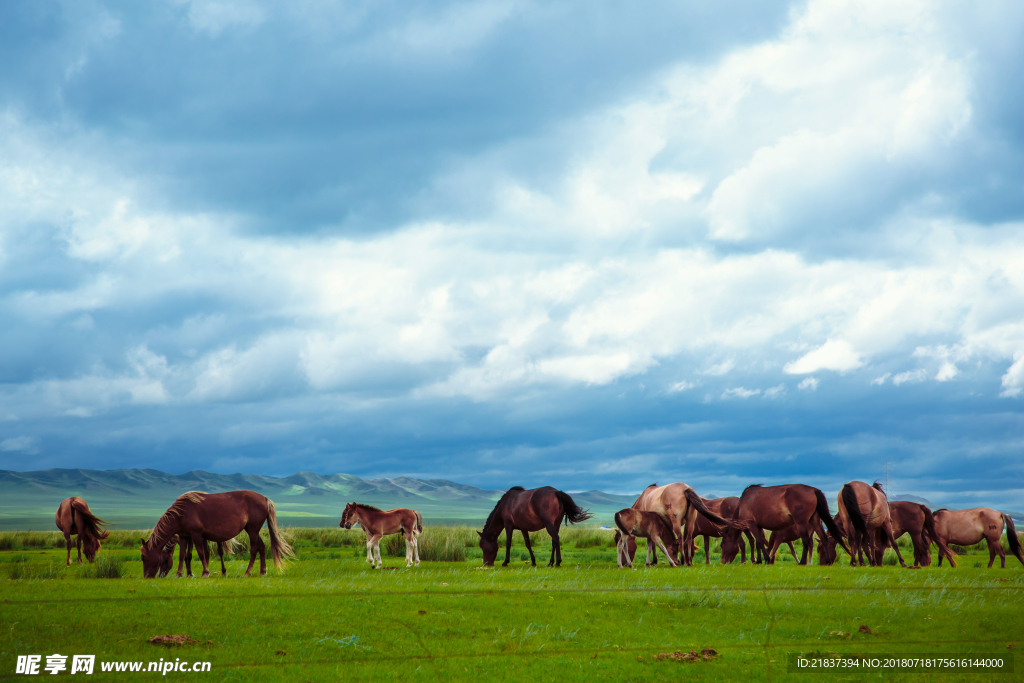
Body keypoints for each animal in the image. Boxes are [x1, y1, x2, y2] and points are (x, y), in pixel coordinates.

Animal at [140, 489, 292, 581]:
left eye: (144, 558)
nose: (147, 576)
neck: (181, 513)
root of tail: (264, 498)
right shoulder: (184, 536)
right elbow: (183, 555)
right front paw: (179, 574)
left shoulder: (196, 535)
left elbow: (201, 553)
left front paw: (205, 572)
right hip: (251, 530)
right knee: (262, 547)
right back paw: (262, 571)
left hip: (253, 530)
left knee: (254, 549)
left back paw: (247, 572)